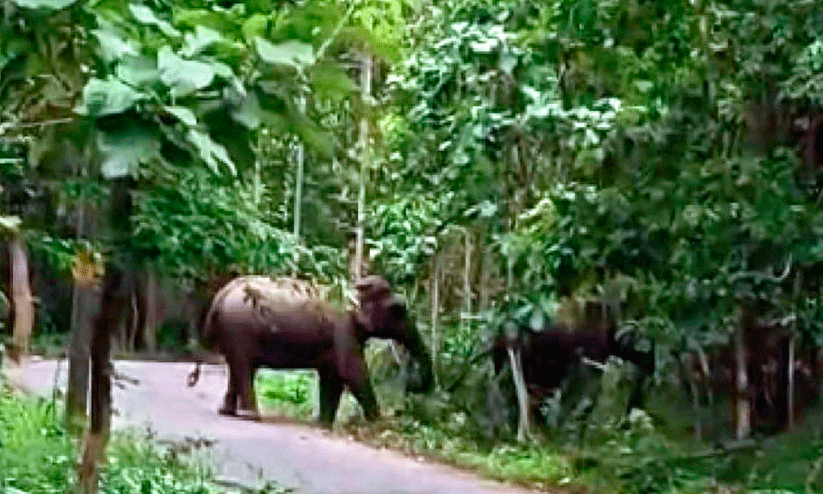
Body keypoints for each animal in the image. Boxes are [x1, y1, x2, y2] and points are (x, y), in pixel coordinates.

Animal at [188, 274, 433, 427]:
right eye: (398, 310)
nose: (414, 386)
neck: (353, 291)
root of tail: (219, 297)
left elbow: (332, 376)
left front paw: (324, 424)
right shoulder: (343, 329)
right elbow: (351, 372)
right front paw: (379, 423)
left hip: (234, 331)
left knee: (237, 368)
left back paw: (227, 412)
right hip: (239, 328)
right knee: (244, 367)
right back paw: (252, 417)